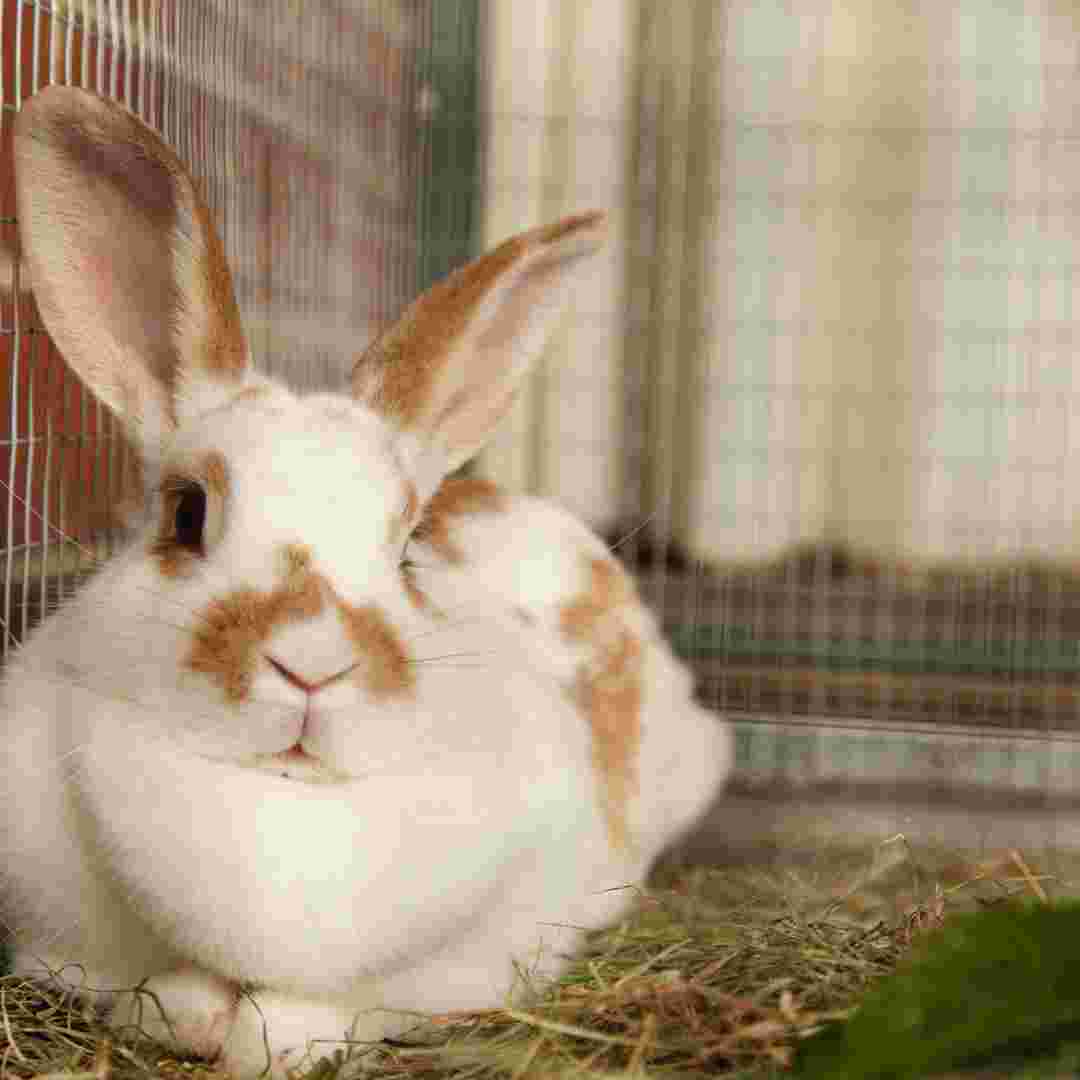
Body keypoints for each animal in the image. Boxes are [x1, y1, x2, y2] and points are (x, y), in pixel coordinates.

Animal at [0, 85, 732, 1078]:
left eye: (410, 543)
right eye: (187, 513)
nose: (312, 663)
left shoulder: (473, 954)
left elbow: (324, 1011)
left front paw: (270, 1035)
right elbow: (158, 991)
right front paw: (197, 1013)